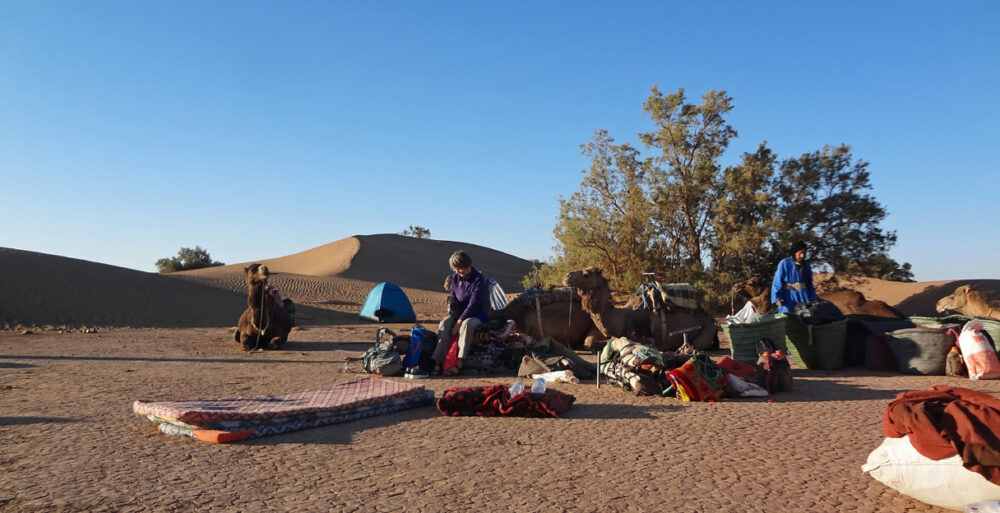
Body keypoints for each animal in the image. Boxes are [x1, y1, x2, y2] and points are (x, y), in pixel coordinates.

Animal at [564, 268, 720, 352]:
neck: (622, 317)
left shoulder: (648, 338)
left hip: (706, 331)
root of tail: (711, 320)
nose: (567, 276)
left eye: (586, 274)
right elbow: (591, 343)